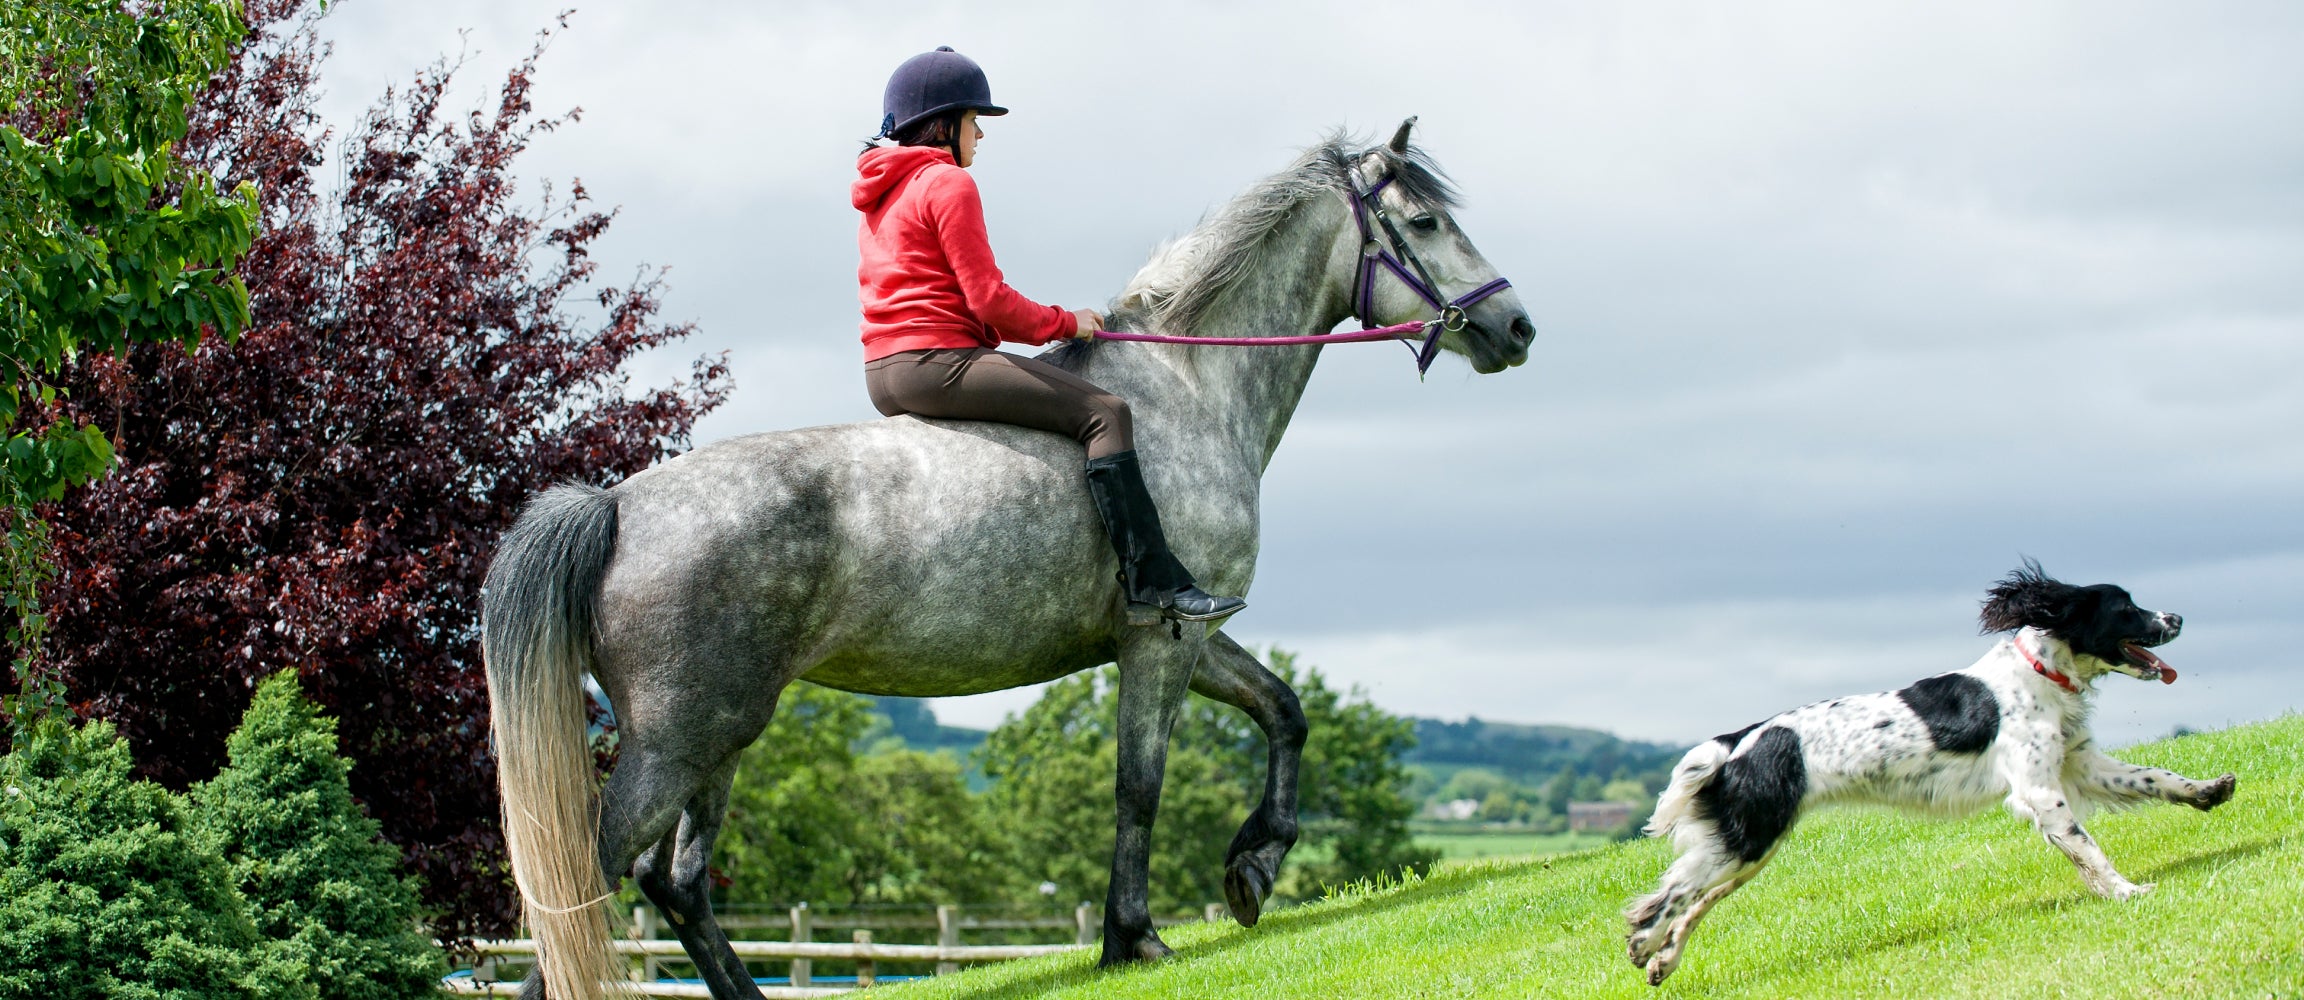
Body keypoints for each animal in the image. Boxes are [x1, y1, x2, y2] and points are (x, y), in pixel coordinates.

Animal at [483, 118, 1533, 1000]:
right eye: (1426, 222)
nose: (1516, 326)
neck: (1188, 386)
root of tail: (616, 505)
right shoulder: (1162, 644)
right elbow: (1139, 786)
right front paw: (1134, 937)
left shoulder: (1191, 632)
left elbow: (1285, 709)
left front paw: (1255, 865)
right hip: (682, 738)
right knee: (591, 887)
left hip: (721, 735)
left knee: (676, 881)